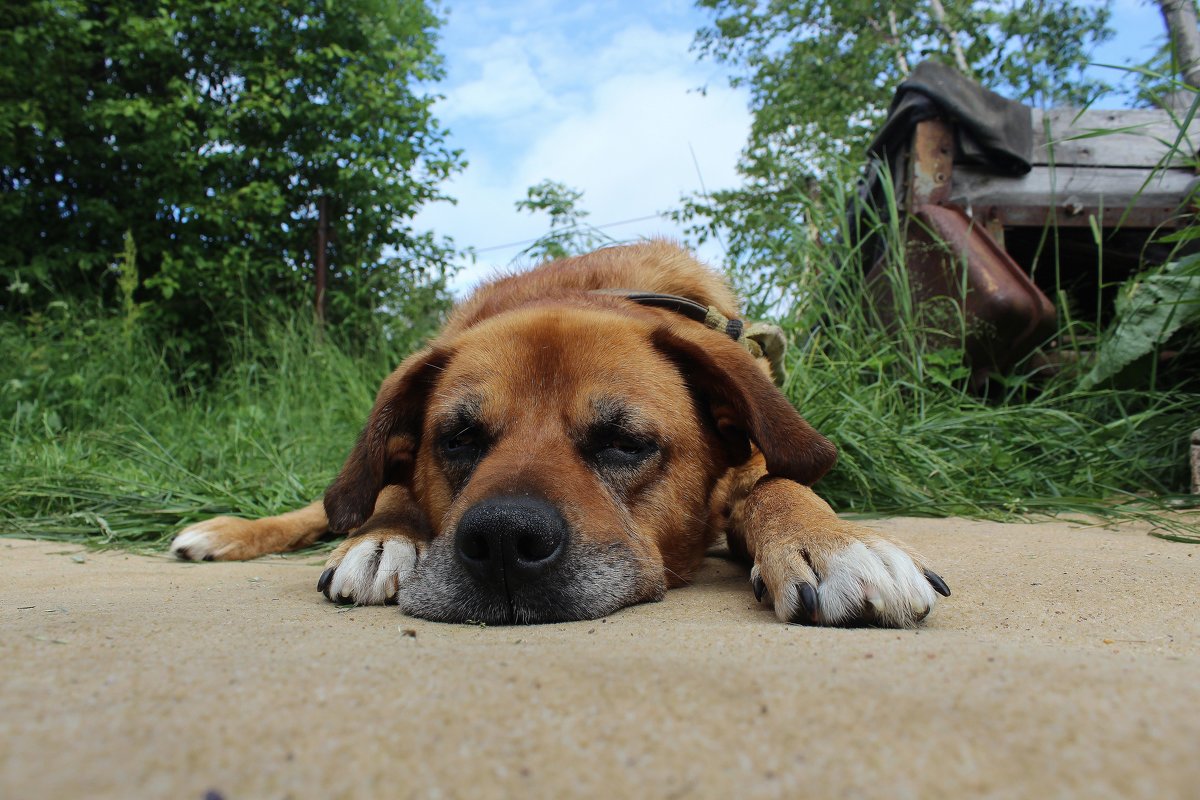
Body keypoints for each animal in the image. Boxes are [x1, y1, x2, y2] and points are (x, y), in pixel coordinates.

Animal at [171, 241, 945, 628]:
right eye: (458, 438)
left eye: (625, 442)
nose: (502, 544)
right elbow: (393, 497)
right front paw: (386, 539)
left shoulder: (752, 465)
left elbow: (779, 485)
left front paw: (833, 542)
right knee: (336, 502)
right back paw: (231, 532)